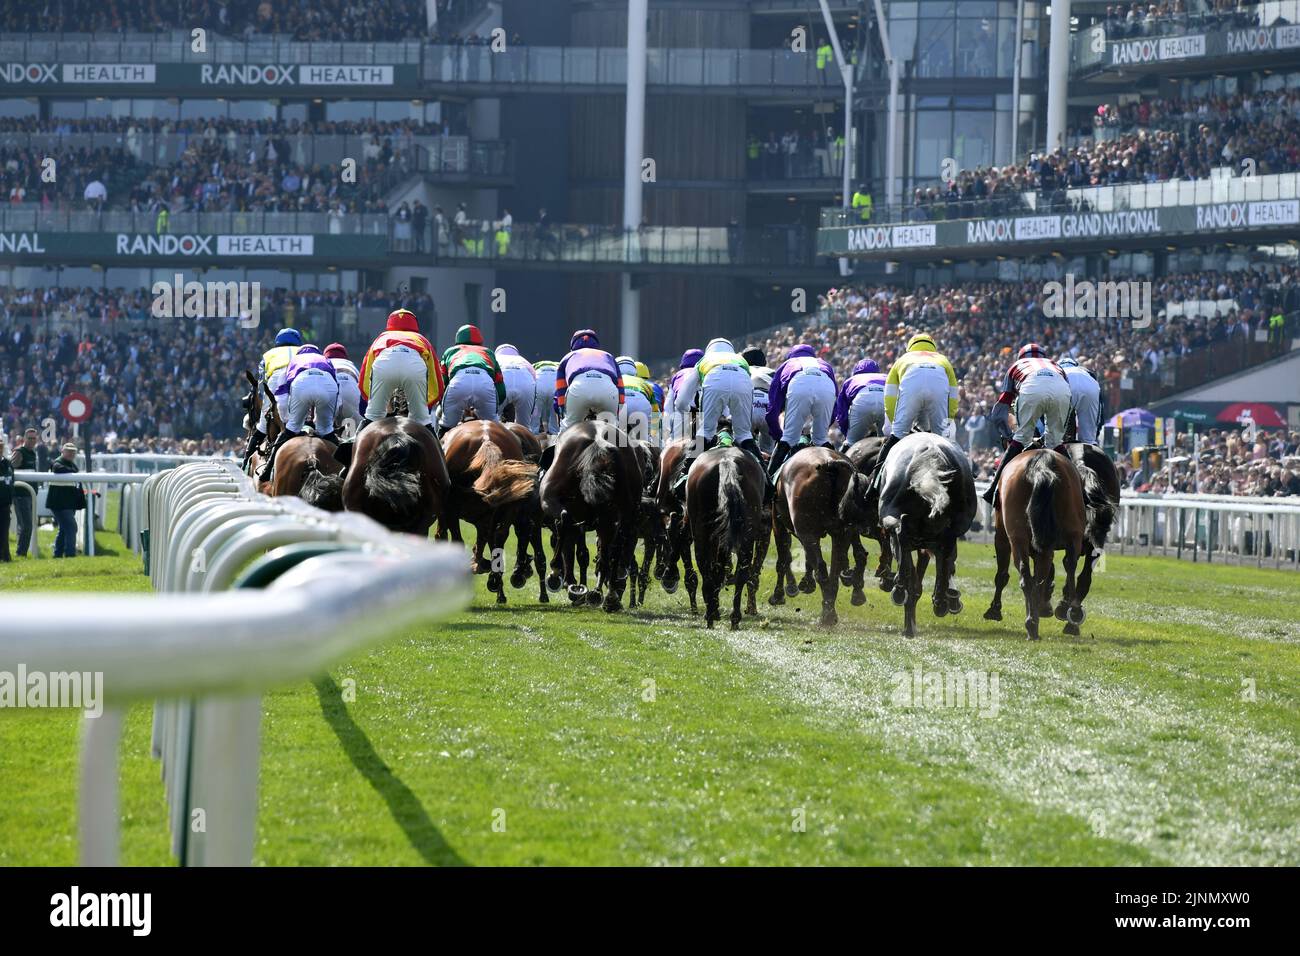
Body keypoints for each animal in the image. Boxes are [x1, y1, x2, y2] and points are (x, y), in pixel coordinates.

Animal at [769, 447, 873, 629]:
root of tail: (829, 463)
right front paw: (805, 583)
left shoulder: (780, 524)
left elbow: (783, 559)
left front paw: (781, 593)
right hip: (840, 534)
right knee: (836, 571)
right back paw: (835, 605)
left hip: (807, 532)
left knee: (822, 569)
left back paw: (827, 615)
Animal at [982, 447, 1086, 642]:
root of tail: (1041, 463)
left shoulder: (1002, 537)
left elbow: (1002, 574)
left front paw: (994, 610)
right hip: (1072, 533)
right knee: (1063, 568)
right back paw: (1067, 616)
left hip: (1018, 537)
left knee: (1028, 577)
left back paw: (1033, 623)